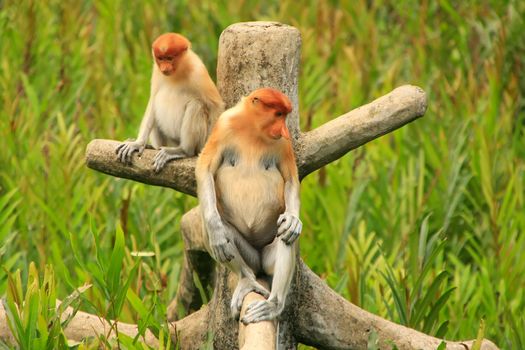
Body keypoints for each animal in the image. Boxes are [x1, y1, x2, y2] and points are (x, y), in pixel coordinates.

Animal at [116, 32, 223, 172]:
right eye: (161, 58)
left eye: (170, 58)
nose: (164, 68)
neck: (178, 72)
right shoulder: (156, 71)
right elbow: (153, 100)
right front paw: (137, 143)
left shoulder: (198, 72)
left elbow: (216, 106)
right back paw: (153, 147)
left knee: (196, 105)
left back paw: (183, 151)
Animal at [194, 89, 300, 324]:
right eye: (278, 114)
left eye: (285, 116)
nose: (284, 130)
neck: (254, 130)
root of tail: (259, 262)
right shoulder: (223, 126)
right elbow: (205, 168)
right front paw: (215, 228)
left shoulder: (283, 144)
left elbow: (290, 180)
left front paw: (293, 220)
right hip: (249, 256)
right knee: (212, 233)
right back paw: (246, 280)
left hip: (267, 257)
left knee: (286, 238)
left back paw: (273, 305)